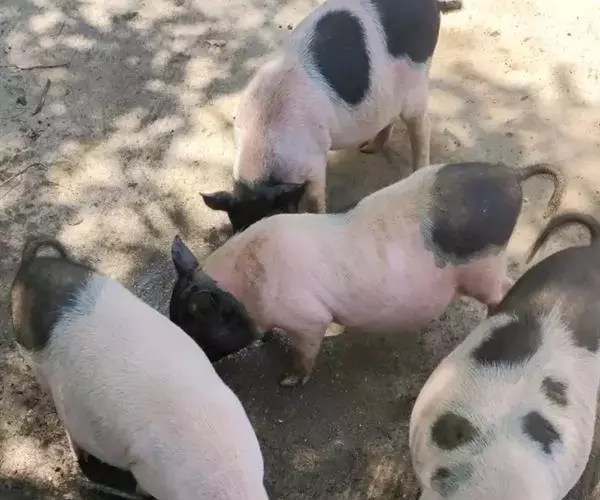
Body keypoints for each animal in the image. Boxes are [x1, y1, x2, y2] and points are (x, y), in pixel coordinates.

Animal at [170, 160, 566, 388]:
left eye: (194, 326)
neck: (246, 290)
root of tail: (512, 175)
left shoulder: (309, 319)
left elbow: (306, 350)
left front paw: (287, 381)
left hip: (484, 266)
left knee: (504, 290)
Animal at [200, 0, 464, 232]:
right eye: (238, 225)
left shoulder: (314, 163)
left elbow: (316, 199)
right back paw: (368, 149)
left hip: (417, 86)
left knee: (421, 128)